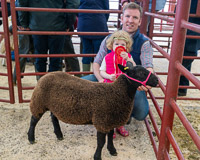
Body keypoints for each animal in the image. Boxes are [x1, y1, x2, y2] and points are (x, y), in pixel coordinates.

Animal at [27, 62, 158, 160]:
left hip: (55, 105)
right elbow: (101, 142)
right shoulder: (102, 121)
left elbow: (110, 137)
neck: (117, 92)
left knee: (54, 118)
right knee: (34, 120)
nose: (156, 80)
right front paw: (97, 157)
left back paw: (59, 135)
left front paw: (112, 150)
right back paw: (31, 138)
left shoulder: (110, 120)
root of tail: (46, 75)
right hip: (39, 102)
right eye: (141, 73)